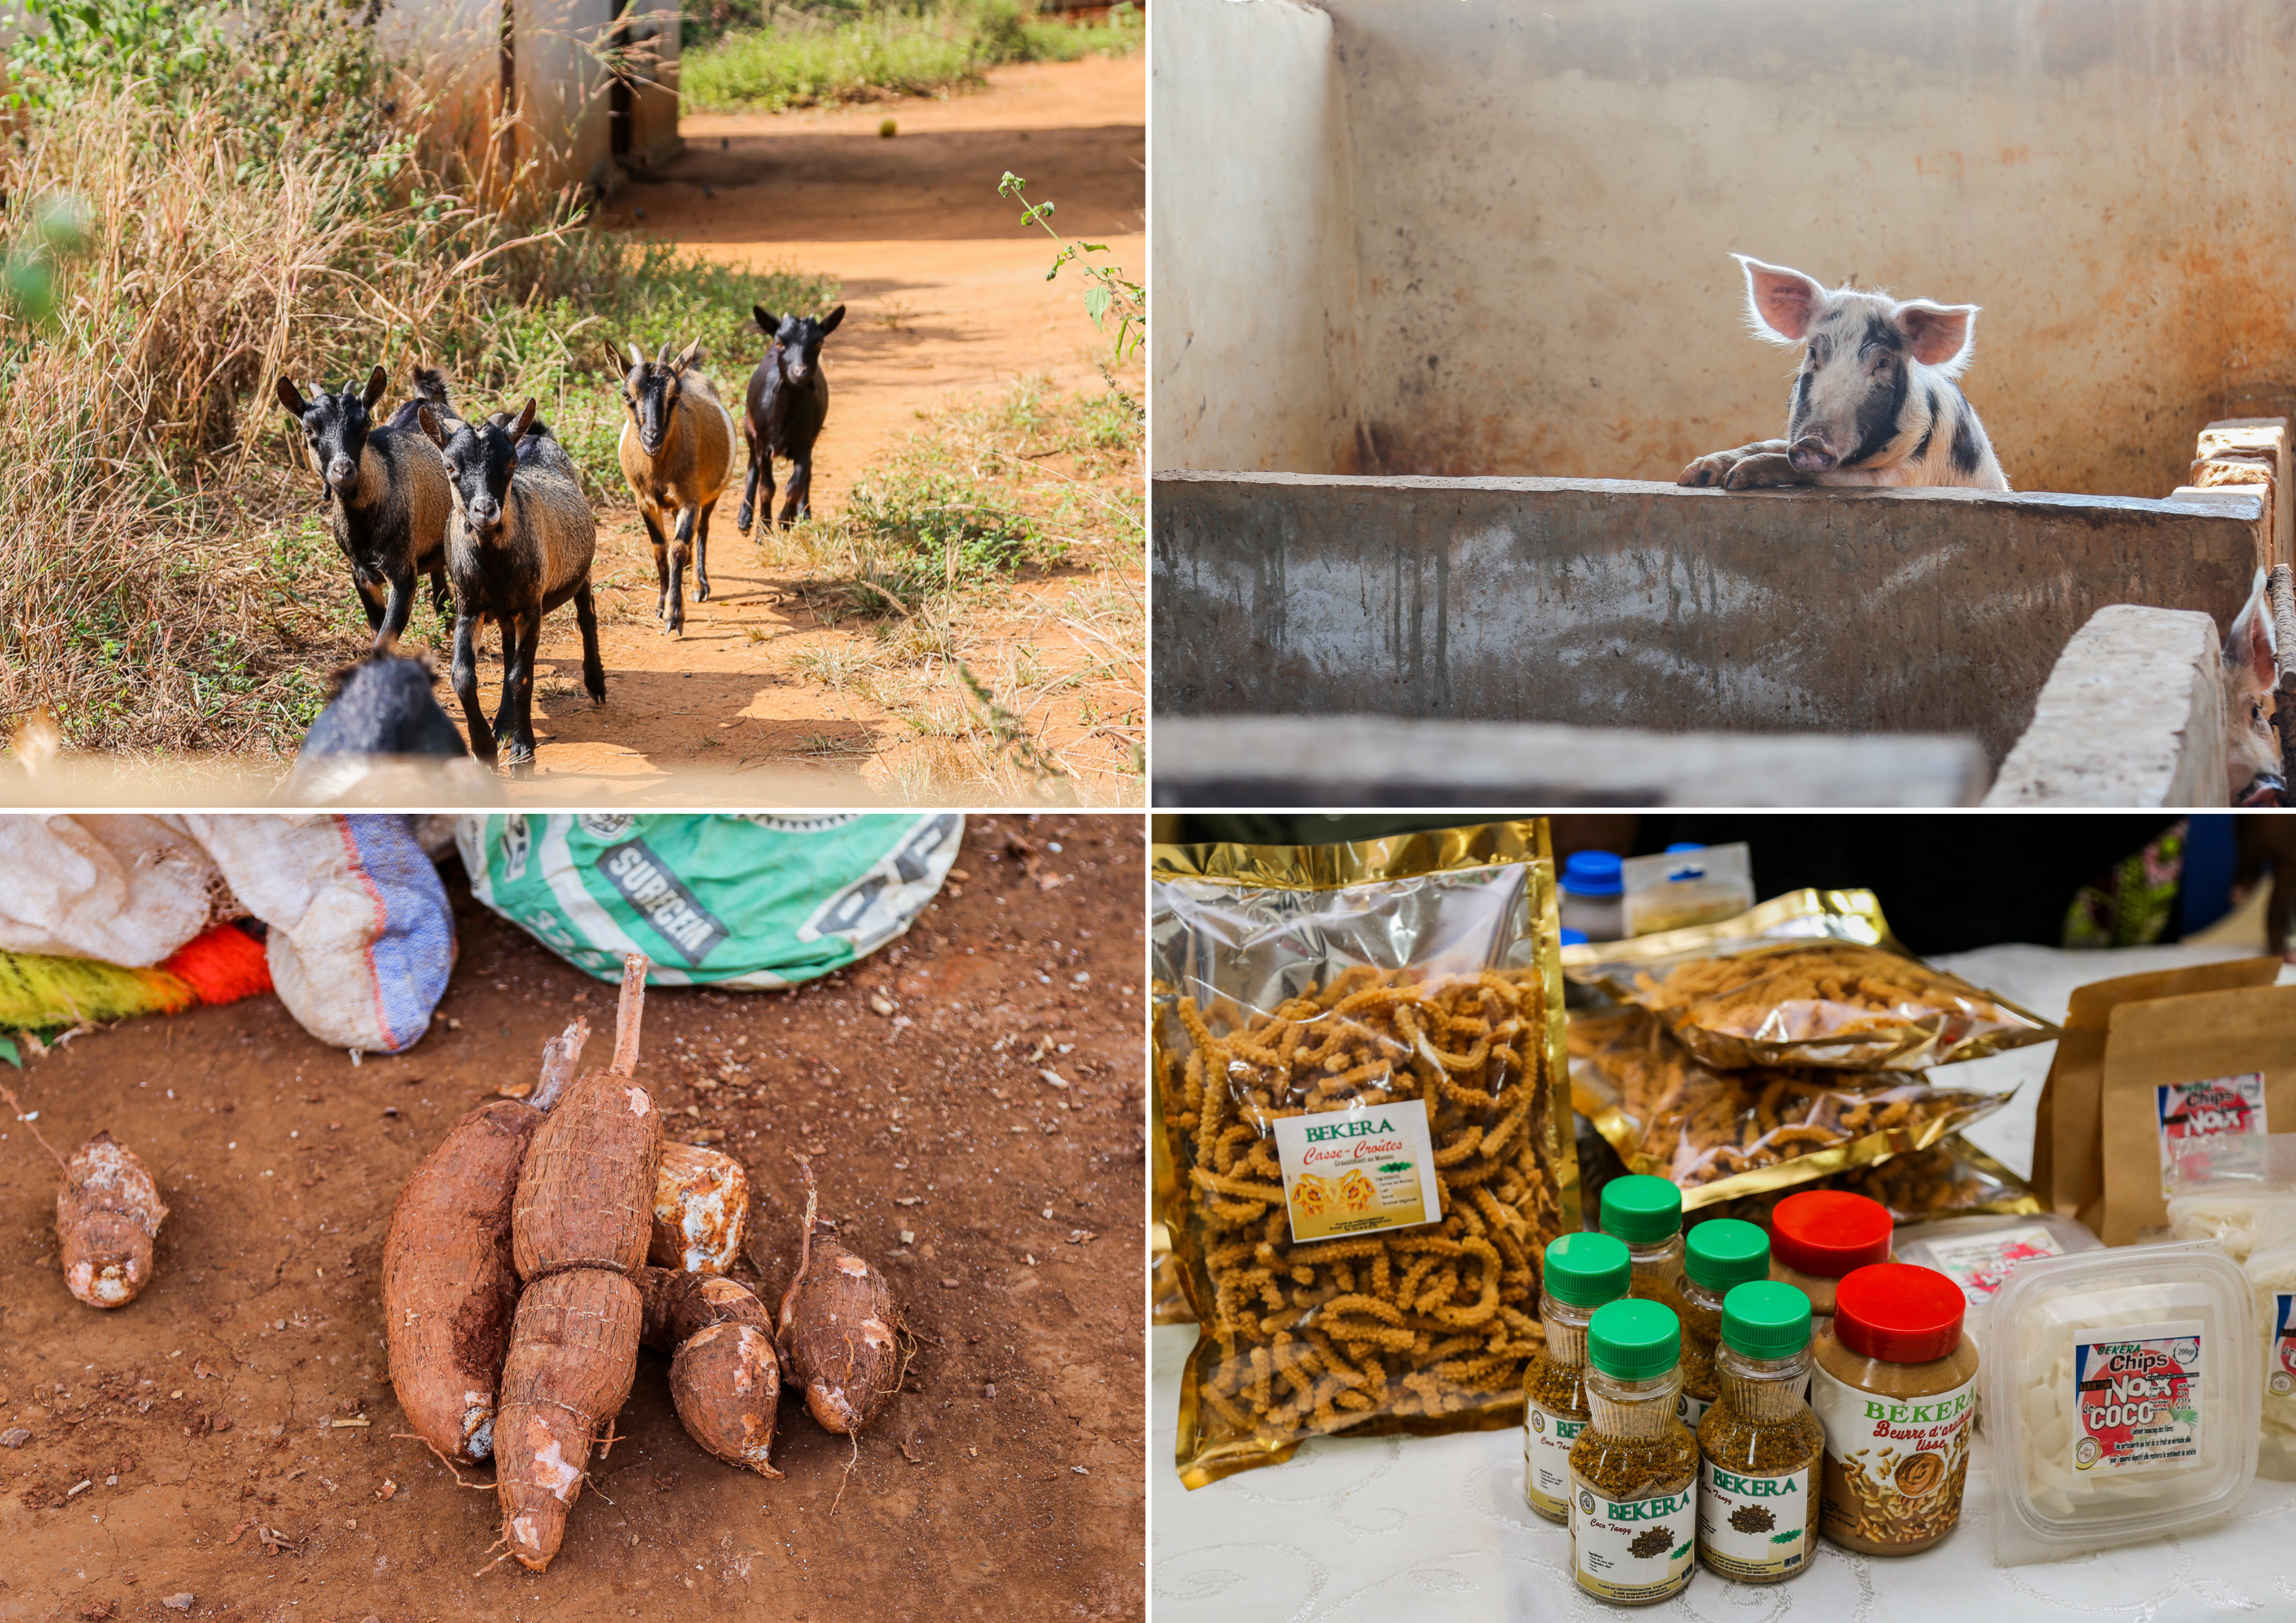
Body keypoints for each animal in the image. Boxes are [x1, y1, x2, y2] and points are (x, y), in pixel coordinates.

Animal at [276, 365, 455, 652]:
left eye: (366, 424)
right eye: (308, 430)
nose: (343, 471)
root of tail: (428, 400)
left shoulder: (403, 573)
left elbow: (384, 639)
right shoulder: (360, 573)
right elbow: (377, 631)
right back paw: (447, 620)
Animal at [606, 340, 730, 638]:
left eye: (676, 395)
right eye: (627, 394)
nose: (653, 437)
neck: (659, 471)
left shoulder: (690, 499)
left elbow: (677, 548)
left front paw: (674, 616)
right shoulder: (644, 501)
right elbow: (659, 549)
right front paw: (661, 605)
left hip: (712, 493)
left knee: (702, 531)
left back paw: (699, 585)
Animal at [735, 301, 845, 530]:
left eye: (819, 343)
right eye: (780, 343)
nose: (799, 372)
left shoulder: (805, 443)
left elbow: (796, 485)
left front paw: (787, 518)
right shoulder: (765, 444)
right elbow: (767, 487)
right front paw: (763, 529)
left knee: (807, 475)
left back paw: (805, 514)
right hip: (749, 428)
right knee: (752, 466)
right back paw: (745, 518)